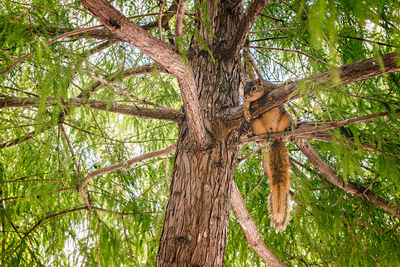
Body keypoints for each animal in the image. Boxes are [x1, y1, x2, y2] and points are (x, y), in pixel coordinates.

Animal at [242, 79, 296, 232]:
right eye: (244, 89)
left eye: (254, 88)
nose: (246, 96)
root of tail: (275, 137)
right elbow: (245, 106)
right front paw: (245, 109)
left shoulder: (269, 86)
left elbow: (275, 87)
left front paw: (285, 83)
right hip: (256, 124)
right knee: (259, 138)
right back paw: (254, 136)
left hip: (286, 117)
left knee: (288, 124)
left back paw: (289, 131)